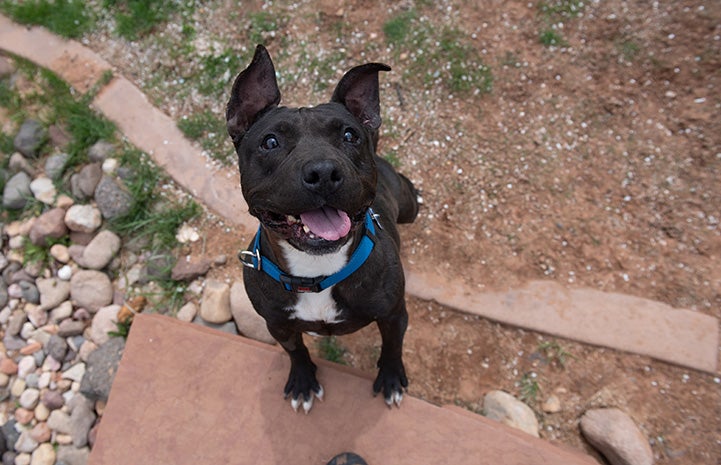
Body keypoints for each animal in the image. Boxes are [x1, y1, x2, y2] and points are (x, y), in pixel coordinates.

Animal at [225, 45, 416, 412]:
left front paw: (390, 378)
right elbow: (296, 349)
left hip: (409, 207)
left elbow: (392, 346)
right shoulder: (278, 325)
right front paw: (302, 379)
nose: (323, 171)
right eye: (270, 142)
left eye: (349, 135)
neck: (316, 271)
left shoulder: (394, 315)